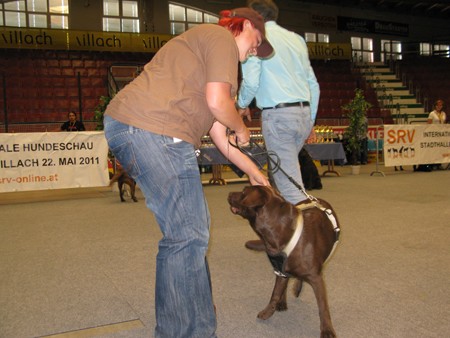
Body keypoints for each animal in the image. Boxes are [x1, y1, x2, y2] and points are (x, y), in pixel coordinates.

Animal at [227, 185, 340, 338]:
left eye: (244, 192)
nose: (229, 193)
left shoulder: (316, 278)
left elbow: (323, 307)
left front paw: (327, 330)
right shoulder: (280, 270)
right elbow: (275, 293)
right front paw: (268, 311)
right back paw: (283, 300)